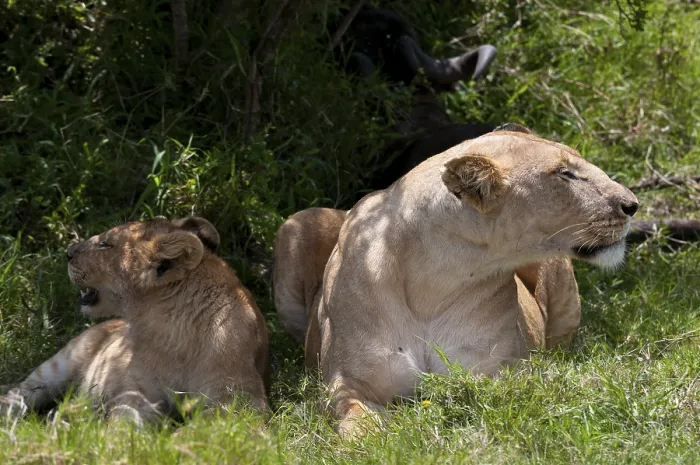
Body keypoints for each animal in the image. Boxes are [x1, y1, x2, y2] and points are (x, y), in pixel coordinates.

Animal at [0, 217, 268, 425]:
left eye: (105, 244)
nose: (67, 253)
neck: (173, 333)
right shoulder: (137, 391)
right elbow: (124, 424)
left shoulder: (238, 397)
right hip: (62, 362)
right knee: (21, 391)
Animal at [273, 125, 639, 438]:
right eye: (565, 173)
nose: (633, 205)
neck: (435, 281)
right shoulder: (346, 382)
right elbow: (357, 425)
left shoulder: (502, 375)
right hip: (296, 223)